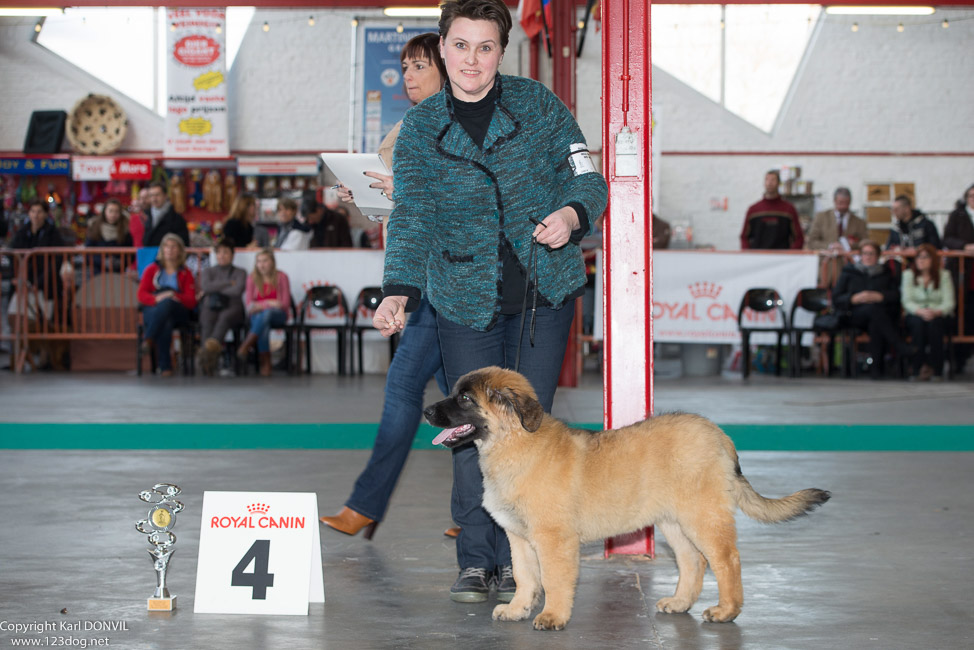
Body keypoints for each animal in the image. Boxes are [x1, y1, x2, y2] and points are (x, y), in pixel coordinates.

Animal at [426, 368, 832, 632]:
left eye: (465, 398)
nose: (428, 411)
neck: (514, 442)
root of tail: (719, 435)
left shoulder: (553, 539)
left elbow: (554, 580)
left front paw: (553, 616)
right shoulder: (519, 537)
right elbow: (527, 578)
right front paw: (516, 609)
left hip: (703, 515)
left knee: (726, 560)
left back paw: (726, 611)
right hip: (674, 521)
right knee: (694, 562)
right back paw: (680, 603)